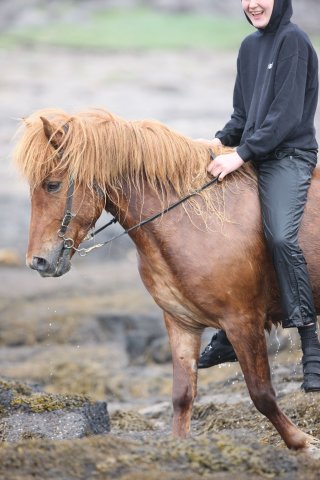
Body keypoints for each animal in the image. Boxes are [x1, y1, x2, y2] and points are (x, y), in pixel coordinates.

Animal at [13, 108, 320, 450]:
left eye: (52, 185)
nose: (38, 261)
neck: (192, 220)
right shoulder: (181, 322)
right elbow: (182, 397)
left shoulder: (243, 322)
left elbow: (262, 393)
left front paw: (302, 442)